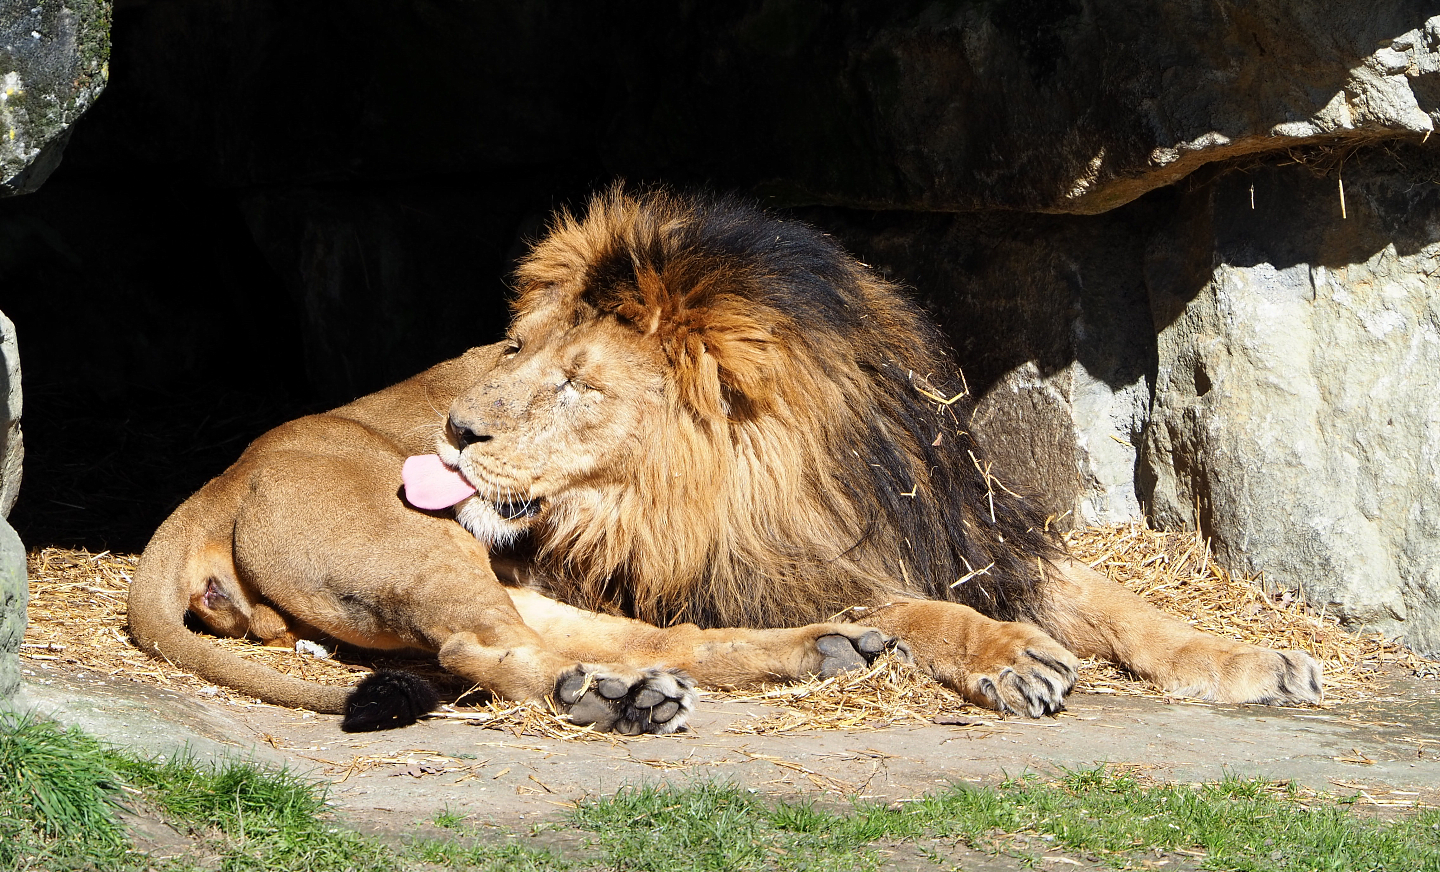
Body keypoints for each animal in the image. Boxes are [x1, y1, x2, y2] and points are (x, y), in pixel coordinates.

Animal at [128, 188, 1322, 733]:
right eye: (515, 348)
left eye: (576, 382)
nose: (454, 431)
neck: (809, 458)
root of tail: (214, 483)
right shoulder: (761, 562)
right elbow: (924, 608)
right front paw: (1005, 654)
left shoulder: (970, 531)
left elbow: (1127, 607)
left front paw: (1255, 661)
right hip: (416, 548)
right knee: (487, 649)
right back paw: (610, 699)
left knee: (631, 638)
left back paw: (799, 657)